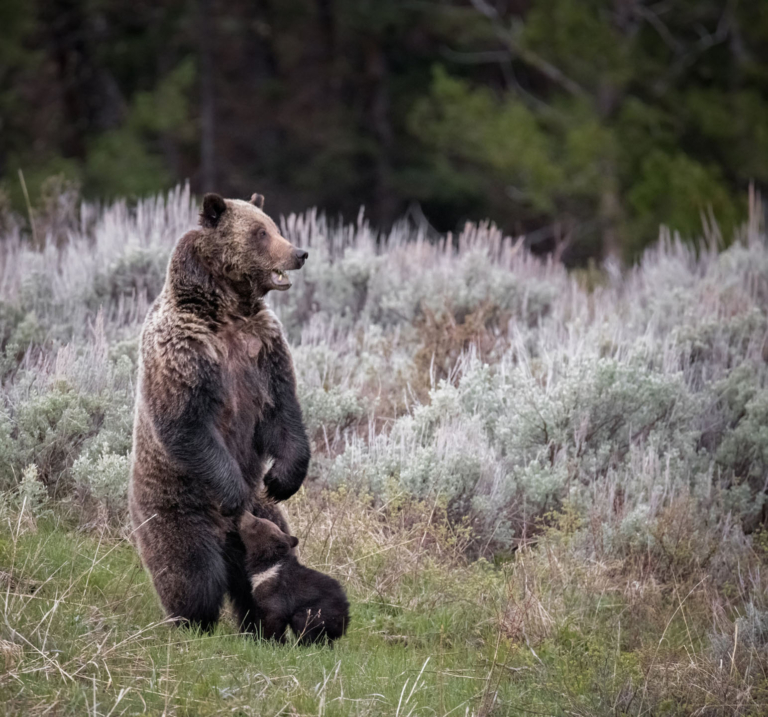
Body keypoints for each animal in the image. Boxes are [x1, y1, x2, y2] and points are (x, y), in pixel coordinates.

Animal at [128, 192, 311, 633]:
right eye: (260, 232)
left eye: (274, 225)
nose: (299, 252)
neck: (227, 312)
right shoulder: (185, 353)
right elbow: (187, 424)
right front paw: (232, 490)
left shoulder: (264, 348)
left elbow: (283, 412)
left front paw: (283, 478)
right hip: (177, 507)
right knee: (192, 571)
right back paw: (192, 622)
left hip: (265, 519)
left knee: (273, 557)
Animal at [238, 511, 350, 644]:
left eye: (257, 522)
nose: (244, 512)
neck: (265, 565)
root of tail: (345, 620)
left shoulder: (274, 589)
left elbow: (273, 616)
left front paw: (271, 641)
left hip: (319, 612)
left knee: (306, 626)